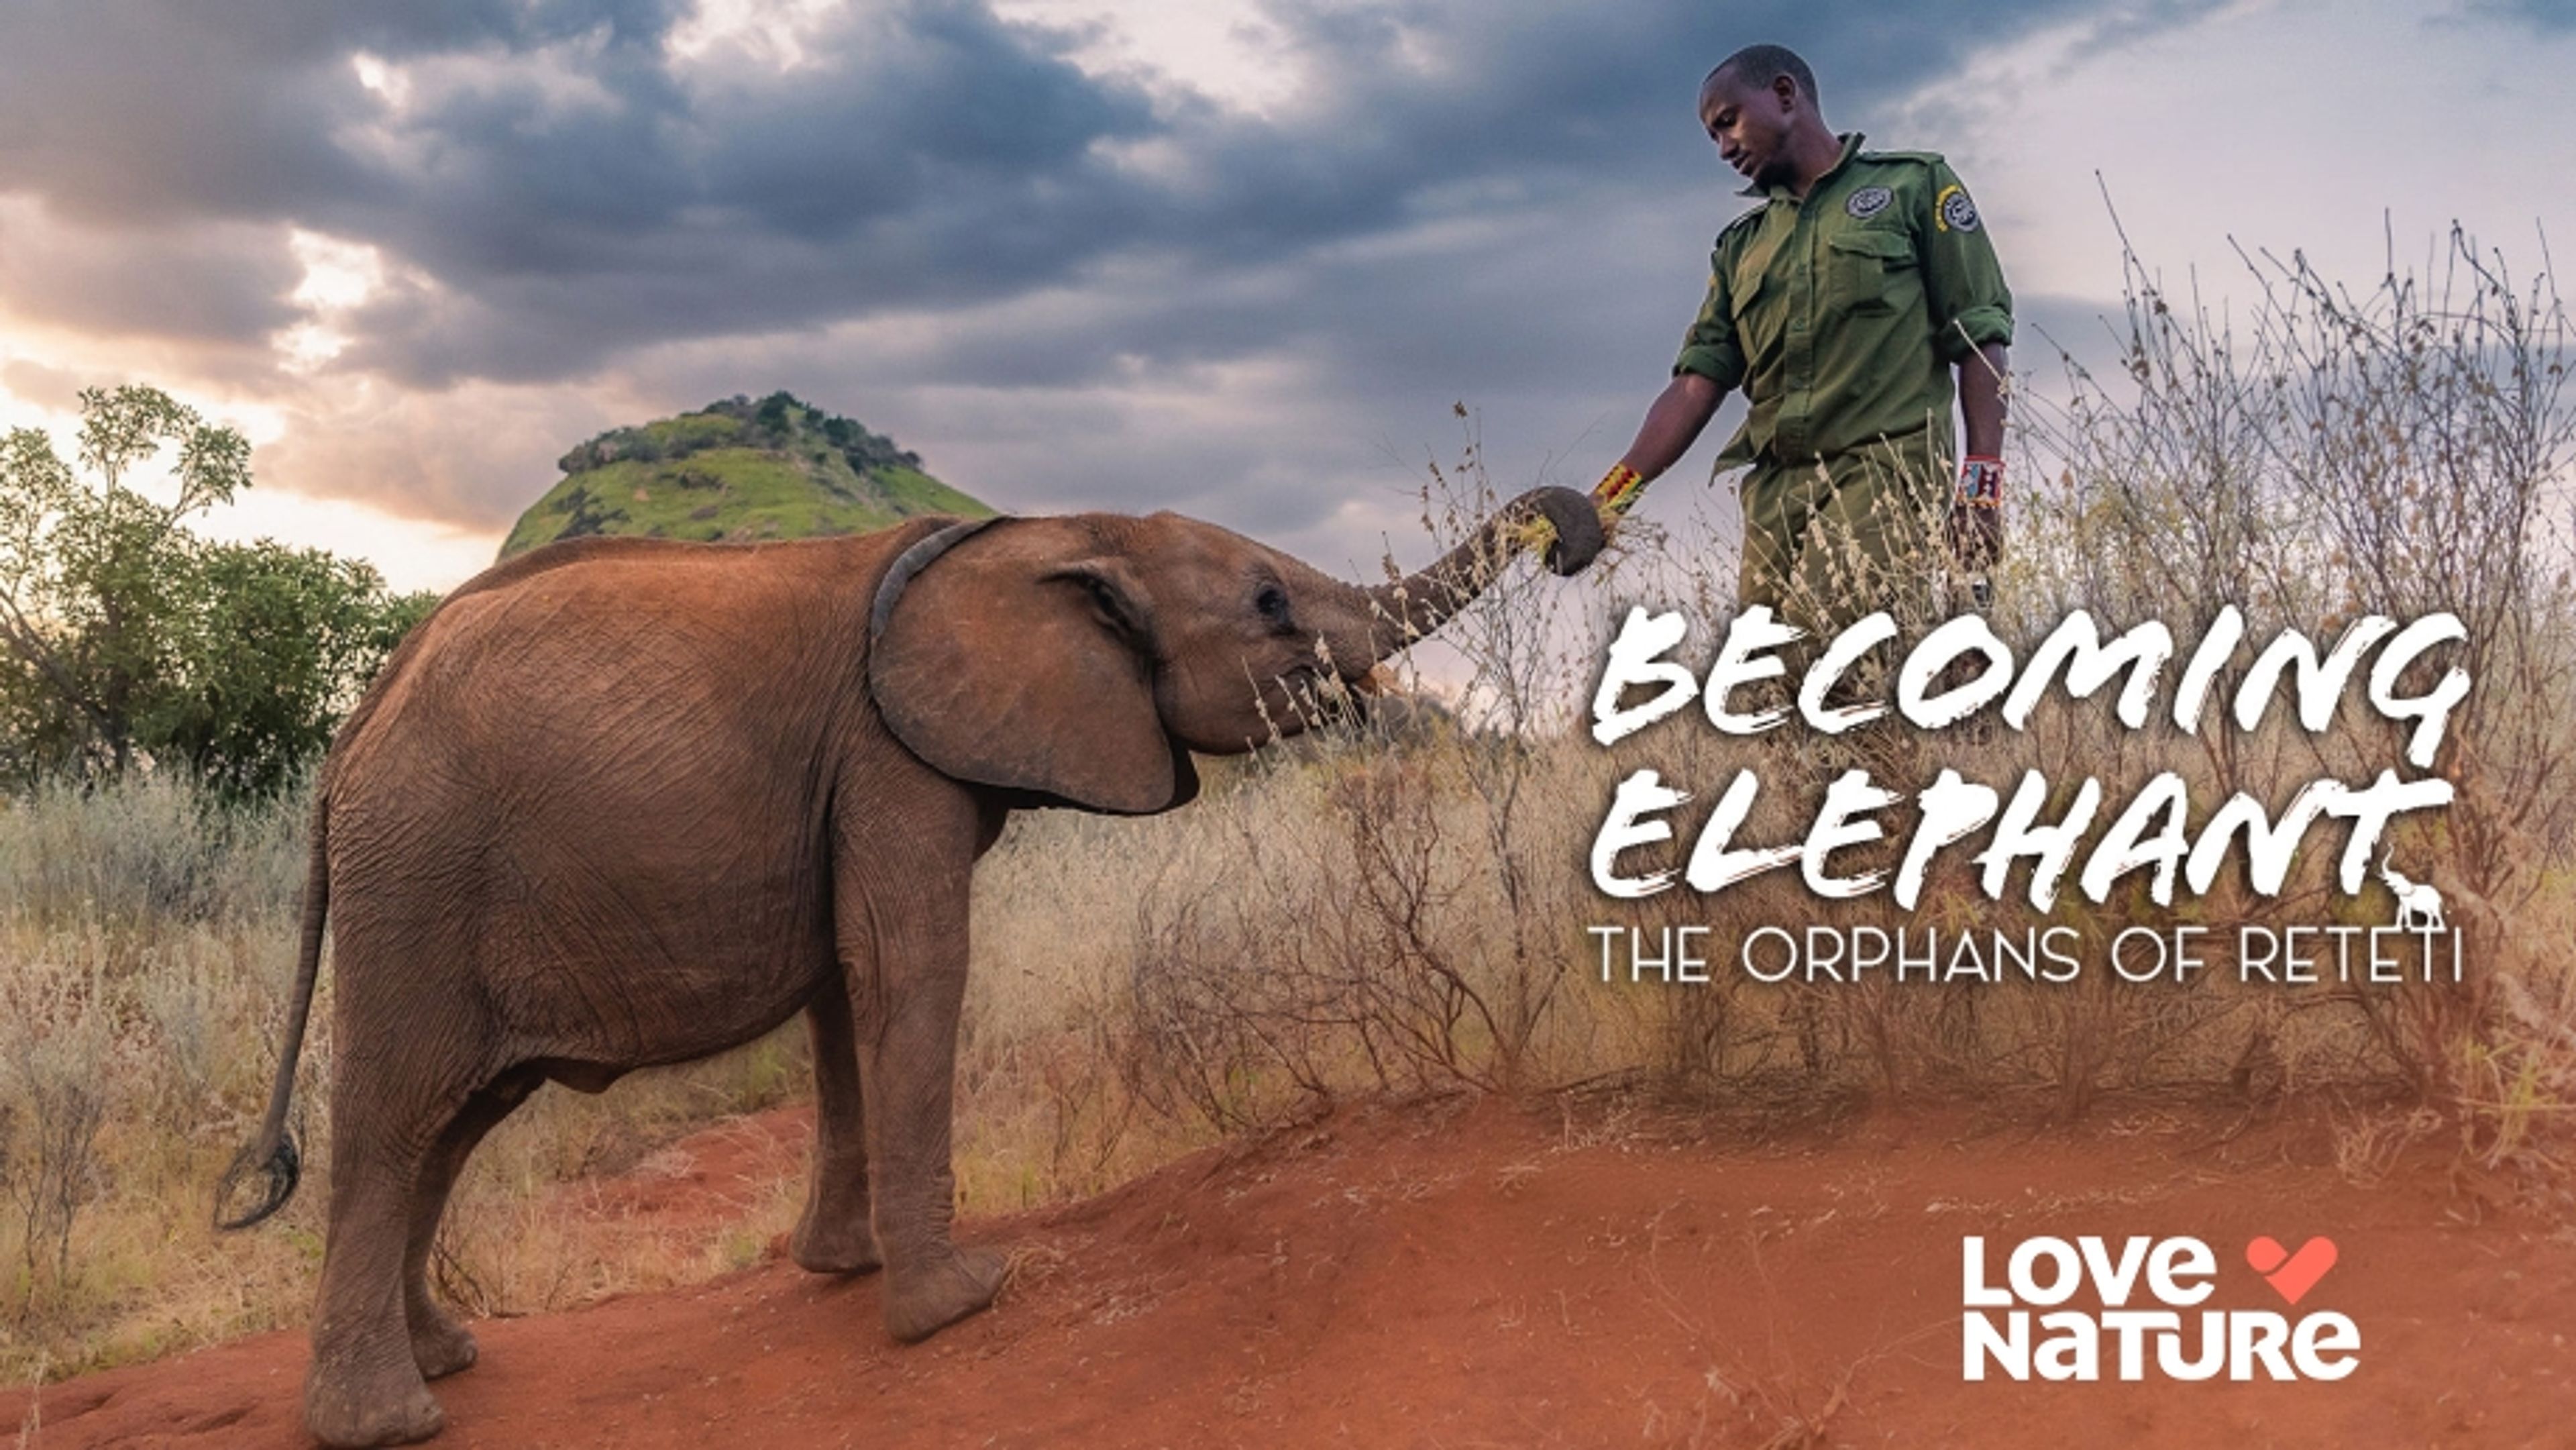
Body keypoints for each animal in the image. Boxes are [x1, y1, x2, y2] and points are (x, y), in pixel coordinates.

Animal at [215, 487, 1604, 1448]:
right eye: (1267, 604)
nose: (1575, 537)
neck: (1062, 527)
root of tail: (349, 740)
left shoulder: (856, 779)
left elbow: (849, 987)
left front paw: (844, 1273)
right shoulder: (892, 754)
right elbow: (911, 961)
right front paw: (962, 1303)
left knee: (453, 1124)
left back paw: (446, 1358)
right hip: (421, 874)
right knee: (400, 1116)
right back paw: (389, 1423)